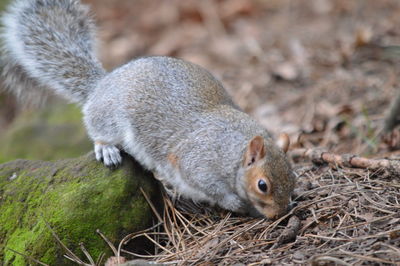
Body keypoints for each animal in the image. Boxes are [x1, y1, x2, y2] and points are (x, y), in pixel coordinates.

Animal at [1, 0, 296, 218]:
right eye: (262, 185)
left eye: (293, 176)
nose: (279, 214)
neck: (234, 153)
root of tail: (102, 84)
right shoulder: (199, 162)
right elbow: (208, 185)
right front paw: (234, 202)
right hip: (109, 119)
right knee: (98, 131)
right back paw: (106, 148)